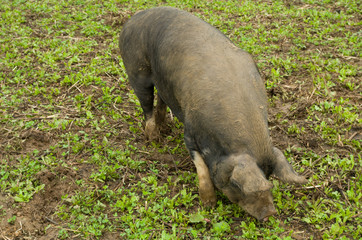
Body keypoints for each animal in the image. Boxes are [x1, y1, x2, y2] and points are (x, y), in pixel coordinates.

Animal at [119, 6, 308, 221]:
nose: (270, 213)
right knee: (147, 106)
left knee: (161, 99)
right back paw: (153, 139)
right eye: (237, 185)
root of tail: (134, 18)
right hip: (136, 71)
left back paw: (164, 129)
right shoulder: (190, 132)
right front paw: (208, 204)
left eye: (269, 176)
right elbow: (201, 167)